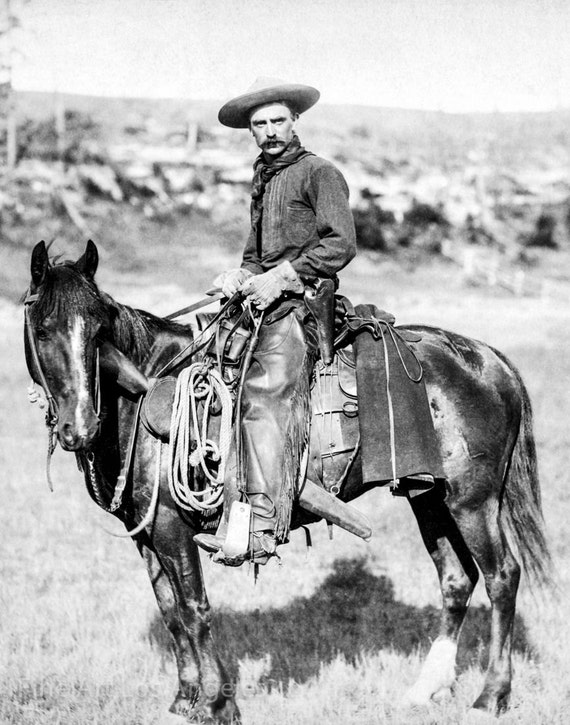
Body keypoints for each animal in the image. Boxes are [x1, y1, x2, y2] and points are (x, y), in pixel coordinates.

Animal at [23, 240, 552, 720]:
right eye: (43, 330)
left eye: (98, 331)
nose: (79, 428)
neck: (143, 394)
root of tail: (489, 359)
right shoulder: (147, 535)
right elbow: (171, 613)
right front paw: (184, 699)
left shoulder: (174, 529)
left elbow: (195, 610)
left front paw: (217, 704)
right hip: (429, 497)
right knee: (457, 579)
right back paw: (426, 688)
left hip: (473, 500)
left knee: (502, 576)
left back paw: (491, 696)